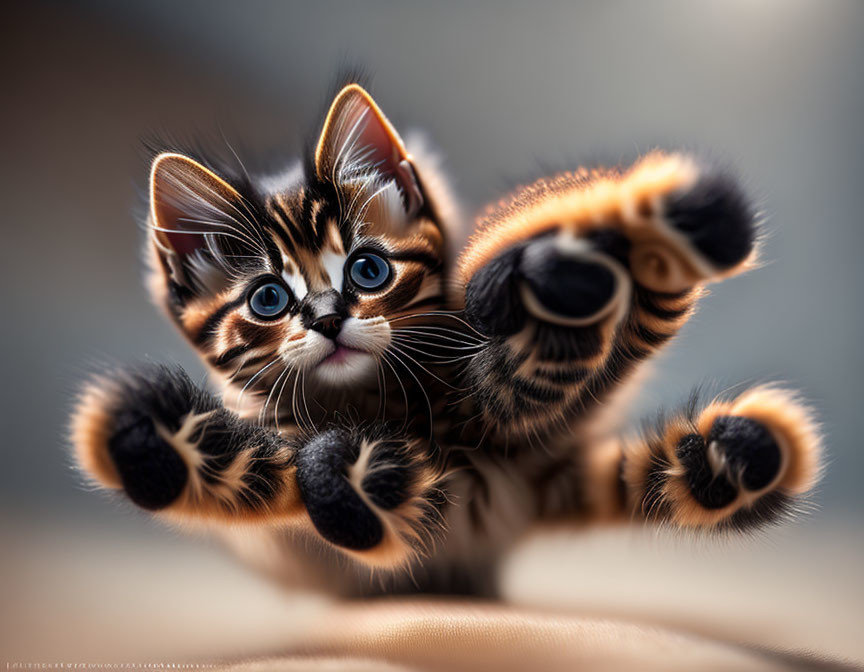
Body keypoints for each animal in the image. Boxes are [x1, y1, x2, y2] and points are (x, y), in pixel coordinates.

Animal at [69, 85, 824, 600]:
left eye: (368, 270)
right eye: (268, 300)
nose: (327, 320)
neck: (380, 406)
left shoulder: (516, 425)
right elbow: (283, 477)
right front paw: (344, 474)